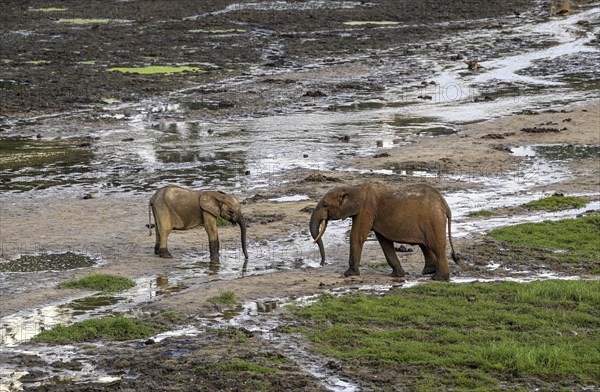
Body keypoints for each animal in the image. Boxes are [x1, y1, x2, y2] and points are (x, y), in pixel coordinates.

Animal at [310, 182, 460, 280]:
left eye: (325, 205)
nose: (321, 264)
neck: (353, 188)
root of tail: (445, 205)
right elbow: (384, 242)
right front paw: (397, 275)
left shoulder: (366, 209)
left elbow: (357, 236)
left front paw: (348, 274)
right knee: (425, 245)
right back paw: (429, 272)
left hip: (434, 220)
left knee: (437, 247)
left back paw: (438, 278)